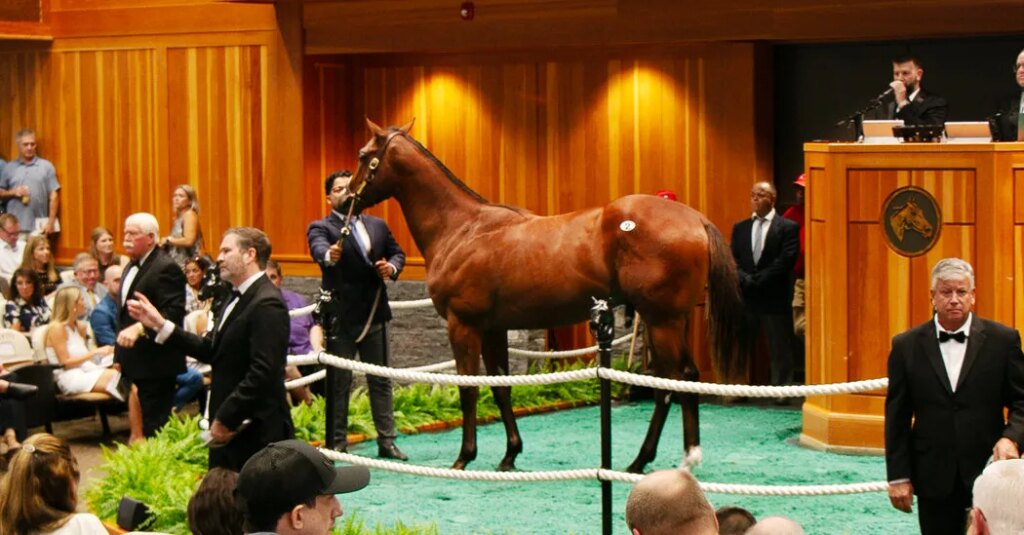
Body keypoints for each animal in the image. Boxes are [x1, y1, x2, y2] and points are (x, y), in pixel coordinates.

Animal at [347, 118, 748, 473]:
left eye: (363, 154)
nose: (346, 196)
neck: (462, 229)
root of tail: (695, 219)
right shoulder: (493, 329)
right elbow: (501, 388)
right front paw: (510, 454)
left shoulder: (464, 326)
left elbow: (469, 389)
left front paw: (464, 458)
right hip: (670, 320)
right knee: (681, 378)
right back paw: (669, 459)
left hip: (661, 320)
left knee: (672, 380)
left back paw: (651, 461)